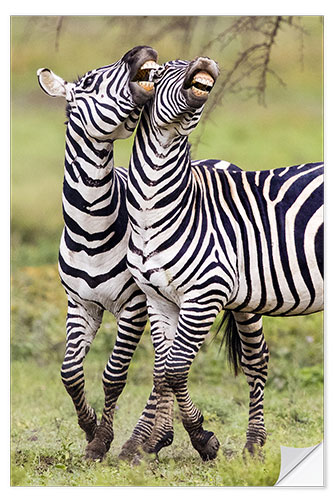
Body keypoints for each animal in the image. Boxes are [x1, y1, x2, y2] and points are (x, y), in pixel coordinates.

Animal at [36, 47, 161, 460]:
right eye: (90, 82)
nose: (142, 51)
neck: (90, 233)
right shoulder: (81, 305)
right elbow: (69, 372)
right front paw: (89, 427)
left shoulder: (133, 306)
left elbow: (114, 374)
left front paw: (103, 440)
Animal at [124, 57, 322, 460]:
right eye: (161, 71)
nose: (205, 61)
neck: (157, 209)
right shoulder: (159, 298)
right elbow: (161, 370)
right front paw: (152, 440)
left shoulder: (205, 294)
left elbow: (175, 370)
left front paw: (202, 438)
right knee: (256, 358)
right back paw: (254, 442)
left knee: (254, 360)